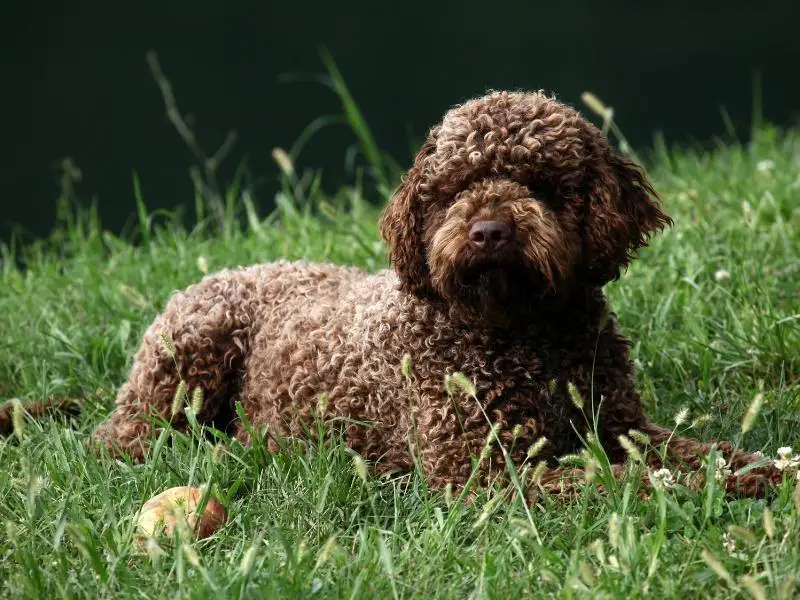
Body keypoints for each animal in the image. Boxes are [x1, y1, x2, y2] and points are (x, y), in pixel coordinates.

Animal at [92, 90, 780, 496]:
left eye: (540, 182)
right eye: (454, 188)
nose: (489, 231)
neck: (525, 336)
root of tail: (226, 272)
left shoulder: (620, 424)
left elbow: (705, 453)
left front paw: (763, 471)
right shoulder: (480, 472)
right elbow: (615, 482)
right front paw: (685, 491)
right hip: (188, 361)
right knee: (120, 437)